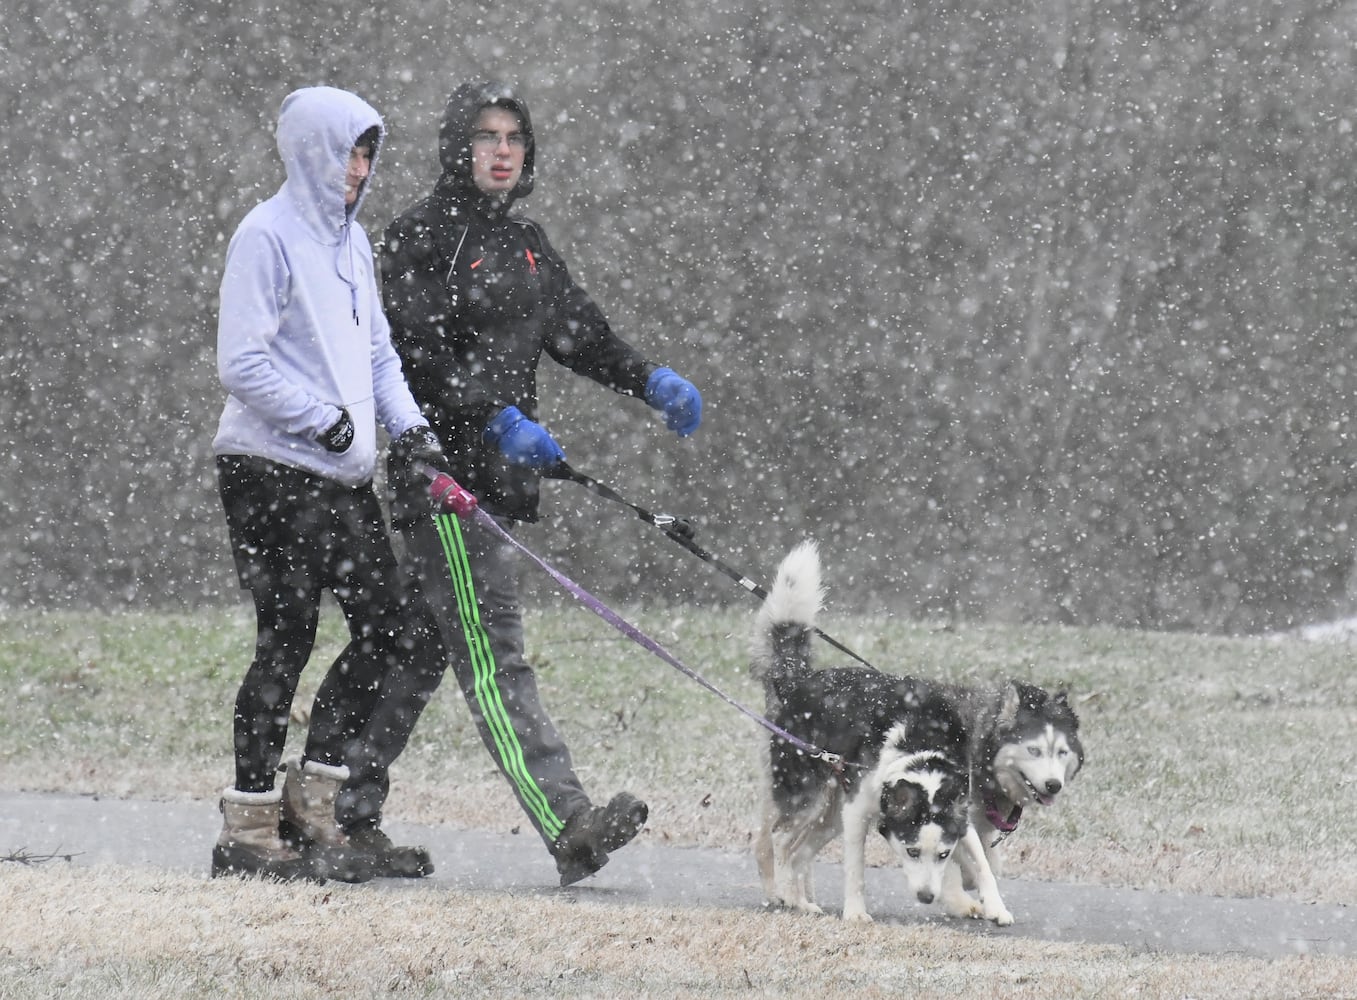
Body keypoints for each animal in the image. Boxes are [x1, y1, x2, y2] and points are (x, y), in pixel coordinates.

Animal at [754, 542, 1020, 922]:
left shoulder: (960, 818)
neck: (920, 745)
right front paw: (855, 913)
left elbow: (983, 865)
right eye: (911, 851)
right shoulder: (856, 813)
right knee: (776, 841)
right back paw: (782, 895)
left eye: (943, 854)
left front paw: (996, 908)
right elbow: (855, 869)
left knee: (798, 850)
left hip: (829, 813)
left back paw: (801, 901)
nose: (926, 897)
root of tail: (796, 681)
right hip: (806, 796)